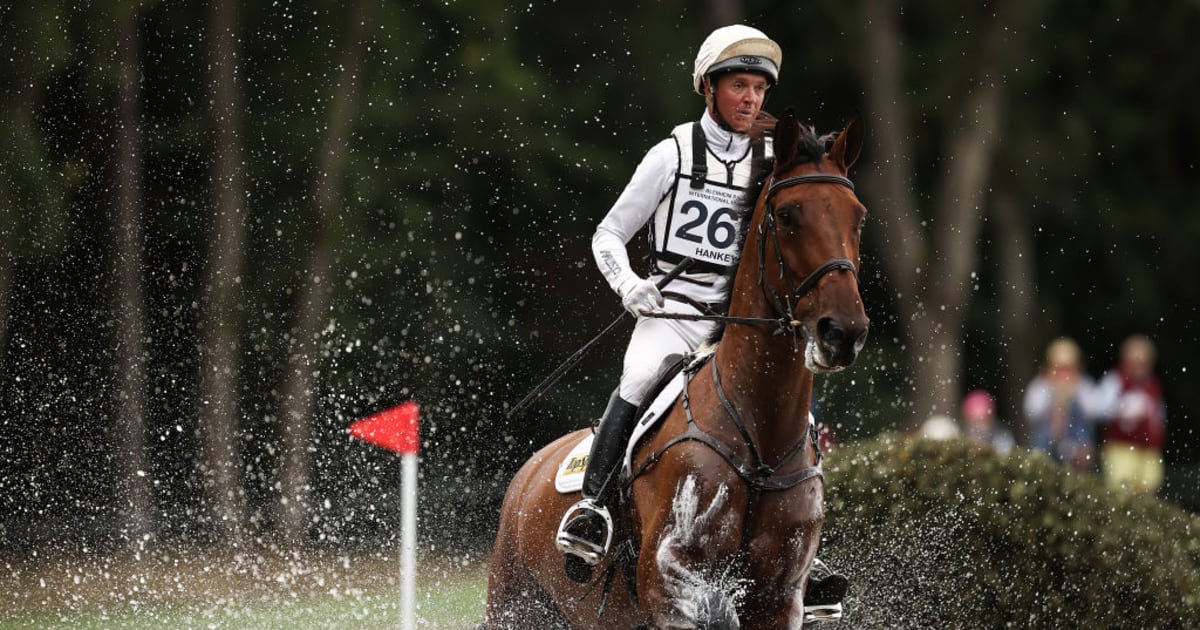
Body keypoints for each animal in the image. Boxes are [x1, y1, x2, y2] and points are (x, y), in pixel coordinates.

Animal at [486, 110, 868, 629]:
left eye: (858, 216)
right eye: (787, 215)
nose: (843, 332)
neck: (761, 442)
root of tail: (530, 471)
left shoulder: (780, 597)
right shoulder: (673, 581)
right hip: (513, 603)